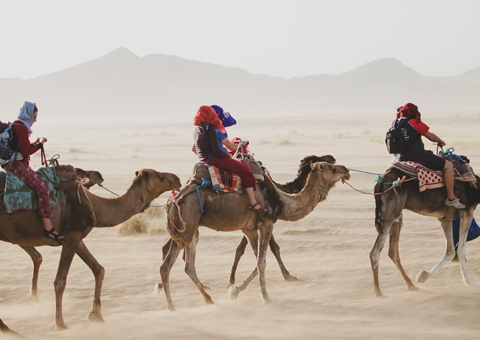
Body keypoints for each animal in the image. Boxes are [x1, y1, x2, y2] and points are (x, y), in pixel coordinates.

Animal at [0, 169, 181, 328]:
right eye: (160, 177)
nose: (177, 179)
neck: (95, 206)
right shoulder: (71, 237)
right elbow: (60, 281)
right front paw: (60, 323)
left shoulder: (76, 239)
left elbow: (98, 269)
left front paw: (96, 314)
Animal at [161, 161, 348, 310]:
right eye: (332, 168)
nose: (346, 170)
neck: (282, 200)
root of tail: (172, 202)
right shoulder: (267, 223)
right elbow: (262, 262)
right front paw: (265, 298)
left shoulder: (249, 230)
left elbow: (258, 261)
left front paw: (235, 290)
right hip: (187, 227)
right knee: (172, 265)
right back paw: (173, 306)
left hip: (187, 231)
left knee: (182, 266)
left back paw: (203, 300)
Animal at [370, 166, 478, 296]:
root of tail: (379, 183)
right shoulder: (467, 212)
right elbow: (461, 250)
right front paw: (470, 282)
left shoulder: (445, 219)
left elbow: (450, 250)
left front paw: (424, 275)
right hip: (389, 216)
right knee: (375, 252)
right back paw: (378, 292)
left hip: (397, 216)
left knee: (393, 251)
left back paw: (410, 285)